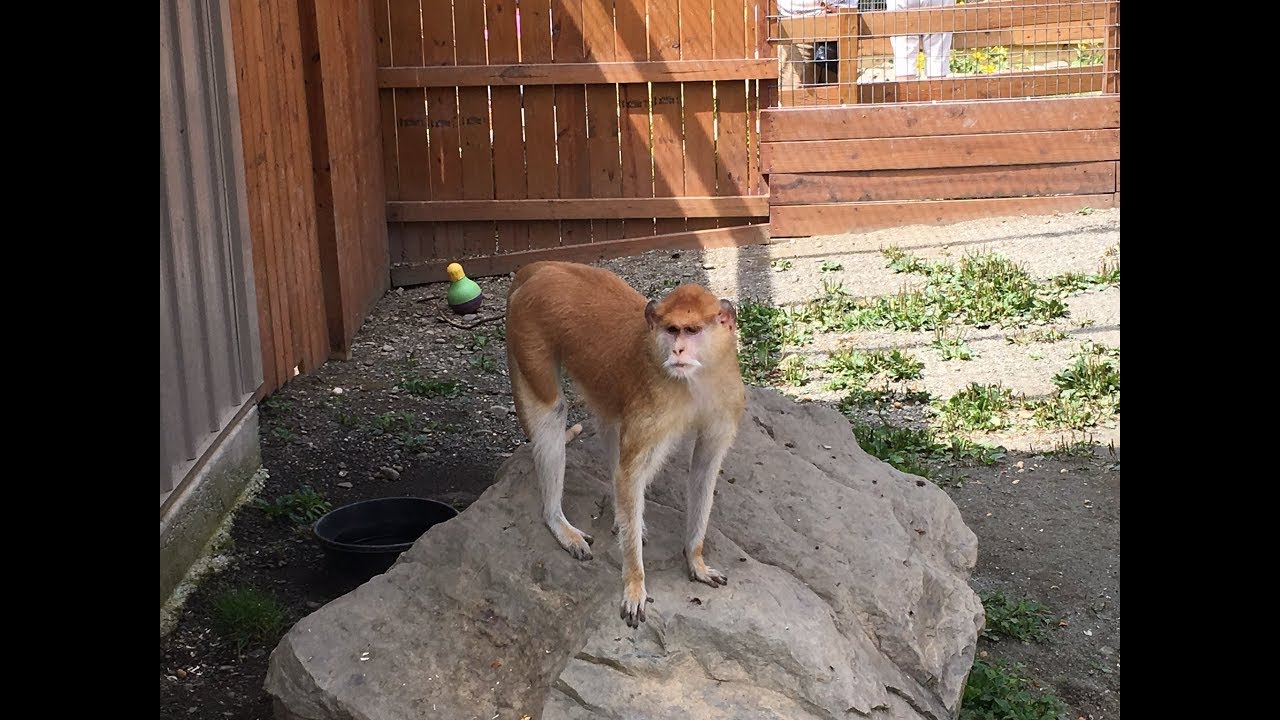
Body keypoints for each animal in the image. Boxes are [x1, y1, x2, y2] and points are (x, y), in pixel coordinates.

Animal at [504, 261, 746, 628]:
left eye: (692, 331)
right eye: (672, 330)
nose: (677, 351)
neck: (693, 382)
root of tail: (543, 268)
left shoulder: (726, 399)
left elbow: (704, 468)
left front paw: (696, 560)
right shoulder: (655, 409)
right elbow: (630, 473)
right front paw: (635, 585)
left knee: (609, 421)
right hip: (528, 333)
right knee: (551, 413)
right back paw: (557, 521)